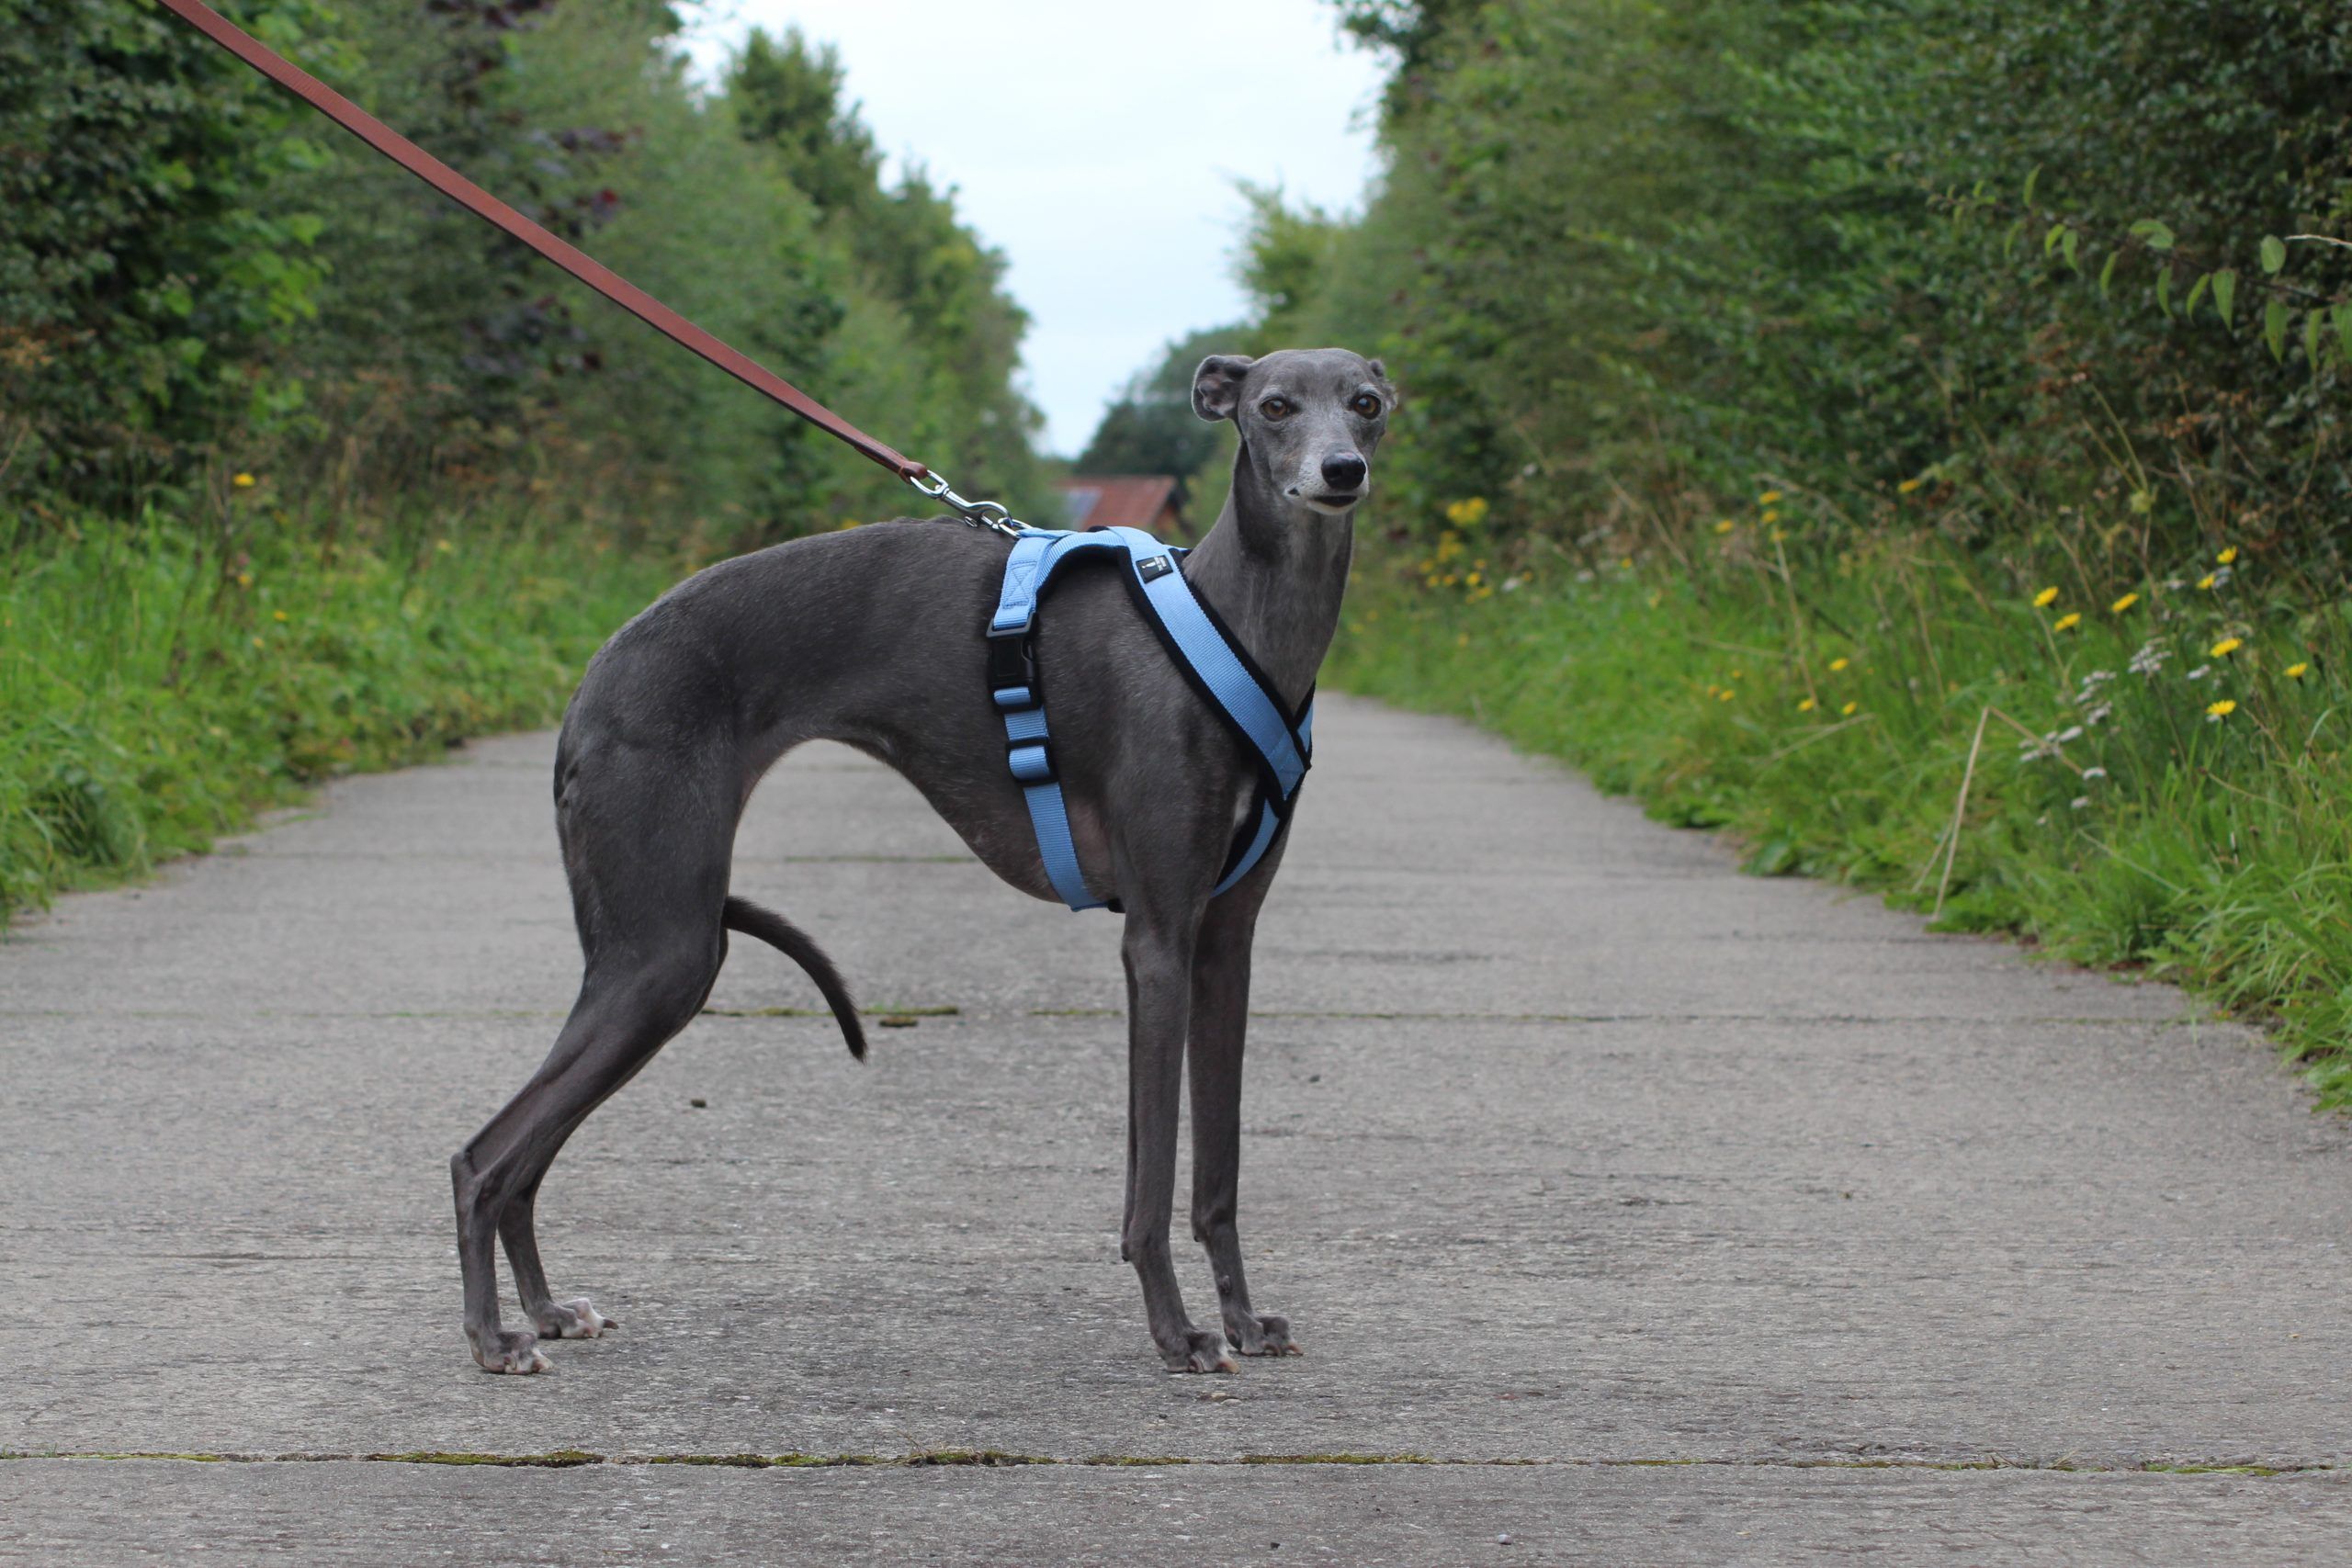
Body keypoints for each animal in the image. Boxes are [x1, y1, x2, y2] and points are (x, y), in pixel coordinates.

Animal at [448, 345, 1383, 1372]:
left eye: (1368, 402)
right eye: (1275, 406)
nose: (1341, 472)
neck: (1237, 623)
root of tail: (591, 681)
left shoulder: (1224, 945)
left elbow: (1218, 1169)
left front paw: (1244, 1320)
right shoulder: (1156, 939)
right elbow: (1151, 1178)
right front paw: (1177, 1334)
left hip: (655, 952)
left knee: (523, 1159)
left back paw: (543, 1312)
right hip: (664, 950)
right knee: (483, 1157)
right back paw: (494, 1336)